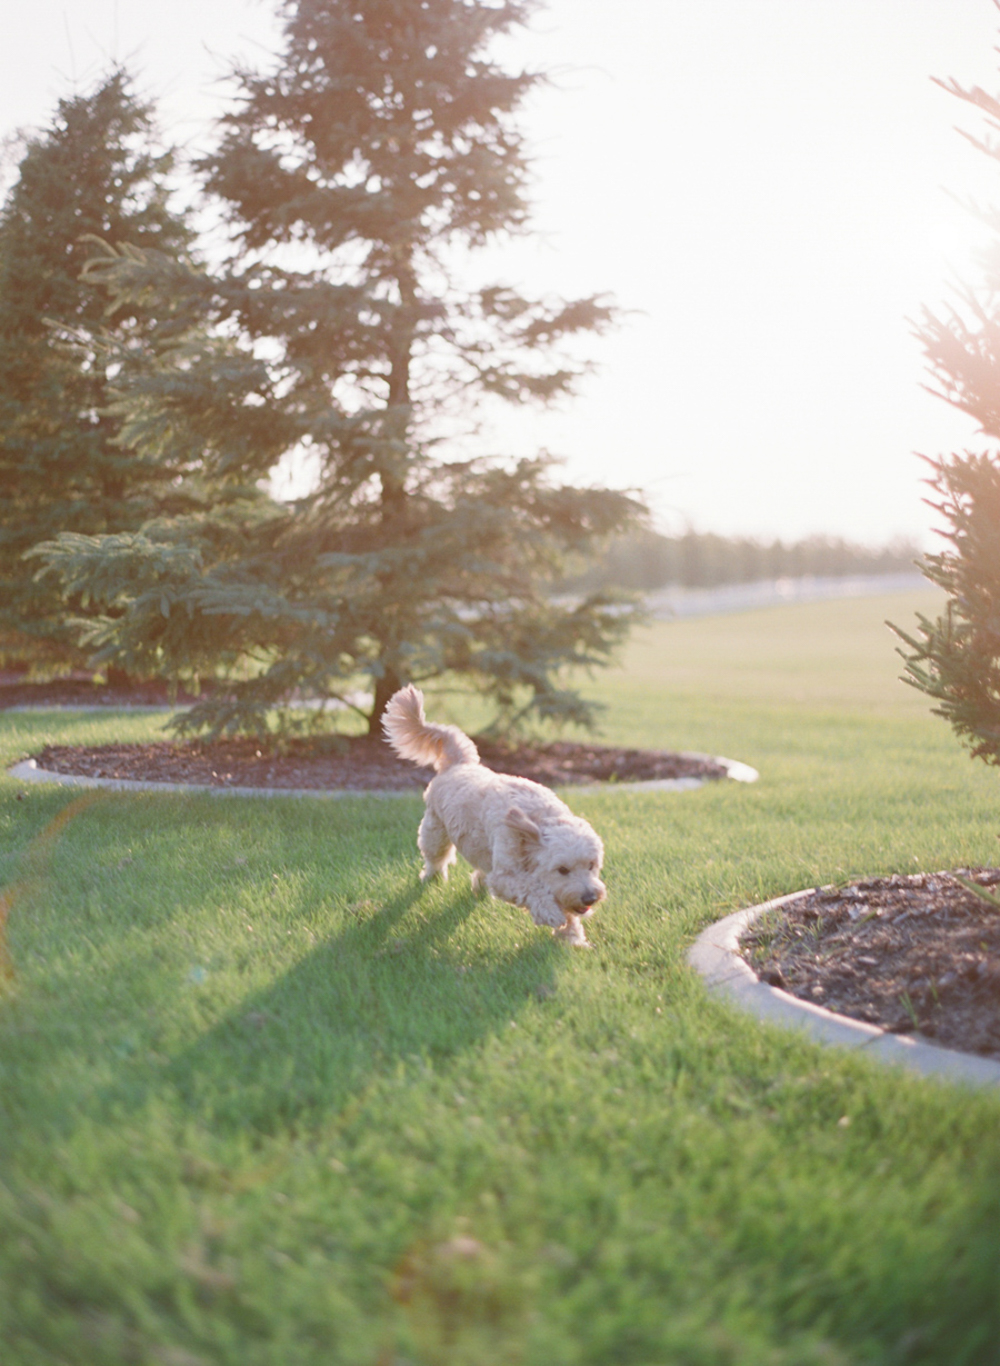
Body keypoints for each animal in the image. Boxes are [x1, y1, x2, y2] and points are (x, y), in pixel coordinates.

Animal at [379, 688, 601, 945]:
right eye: (562, 870)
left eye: (591, 865)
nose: (589, 898)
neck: (535, 821)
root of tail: (458, 762)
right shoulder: (505, 876)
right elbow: (531, 889)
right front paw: (549, 912)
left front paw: (571, 937)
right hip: (435, 831)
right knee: (436, 858)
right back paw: (432, 878)